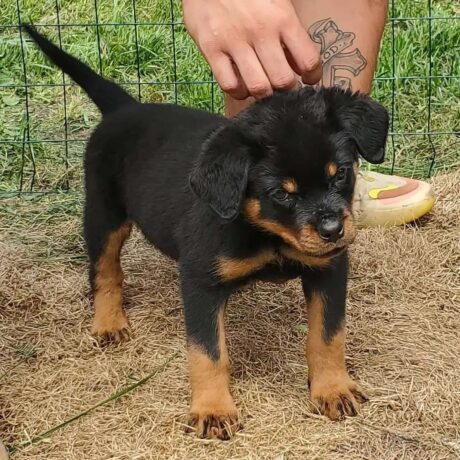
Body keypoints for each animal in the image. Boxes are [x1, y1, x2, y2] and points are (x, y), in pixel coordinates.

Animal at [26, 26, 388, 442]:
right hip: (103, 213)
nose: (333, 230)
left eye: (341, 172)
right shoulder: (199, 280)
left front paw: (333, 389)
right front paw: (213, 410)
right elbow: (208, 351)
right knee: (105, 271)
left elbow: (328, 335)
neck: (266, 232)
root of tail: (124, 109)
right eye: (281, 193)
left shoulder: (328, 268)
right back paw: (109, 323)